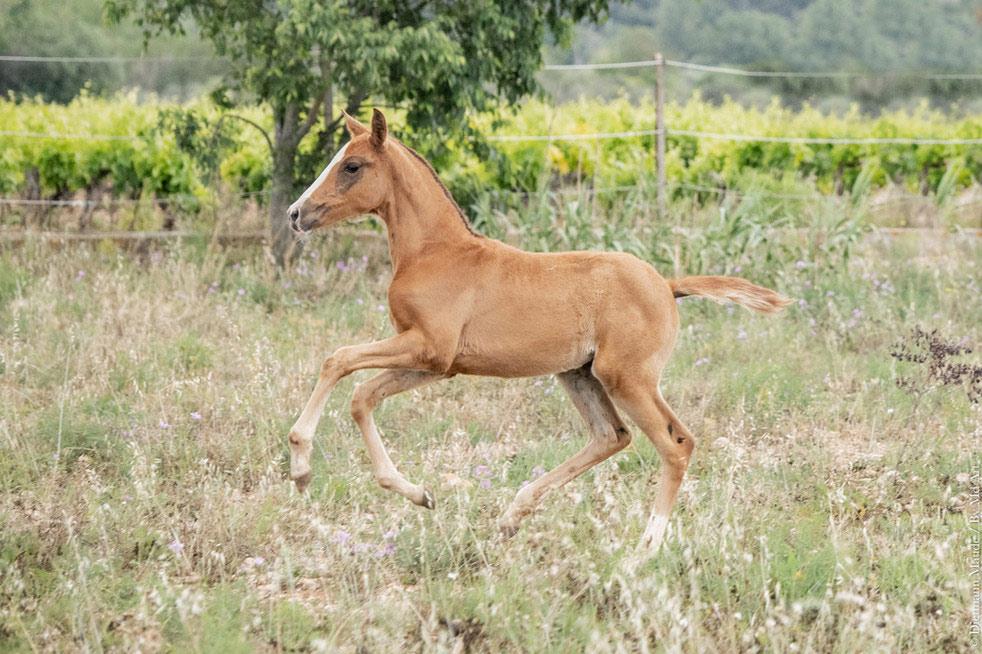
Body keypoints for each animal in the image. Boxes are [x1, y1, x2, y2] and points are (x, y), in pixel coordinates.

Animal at [286, 109, 790, 551]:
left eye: (352, 166)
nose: (296, 214)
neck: (436, 253)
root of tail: (667, 285)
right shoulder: (438, 364)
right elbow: (362, 396)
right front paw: (419, 494)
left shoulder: (427, 347)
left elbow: (338, 360)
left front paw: (301, 467)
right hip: (579, 374)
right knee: (612, 436)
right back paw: (513, 515)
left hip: (627, 377)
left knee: (676, 444)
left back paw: (645, 549)